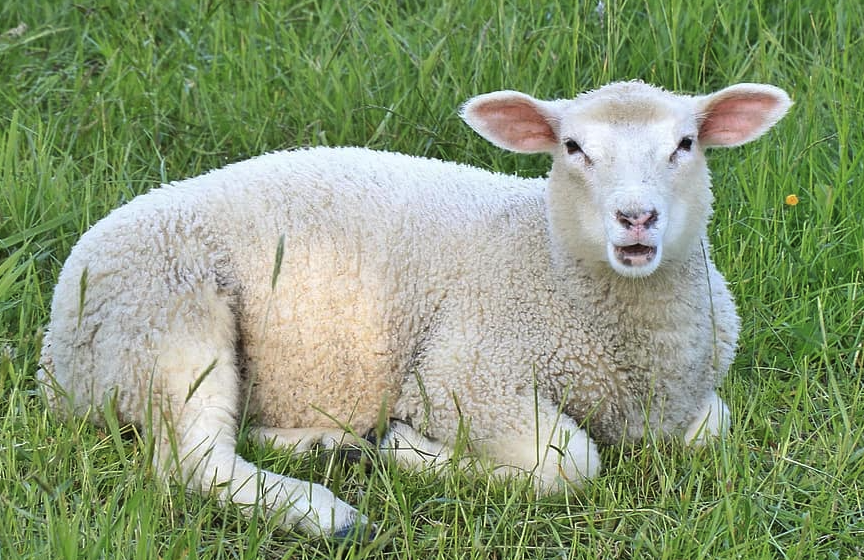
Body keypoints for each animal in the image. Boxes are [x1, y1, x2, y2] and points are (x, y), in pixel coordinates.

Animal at [37, 80, 792, 540]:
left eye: (685, 145)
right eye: (573, 148)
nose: (636, 218)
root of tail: (55, 357)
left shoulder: (692, 395)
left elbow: (711, 429)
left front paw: (383, 444)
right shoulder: (467, 378)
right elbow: (568, 465)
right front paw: (411, 451)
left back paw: (330, 444)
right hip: (168, 318)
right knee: (193, 464)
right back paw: (329, 511)